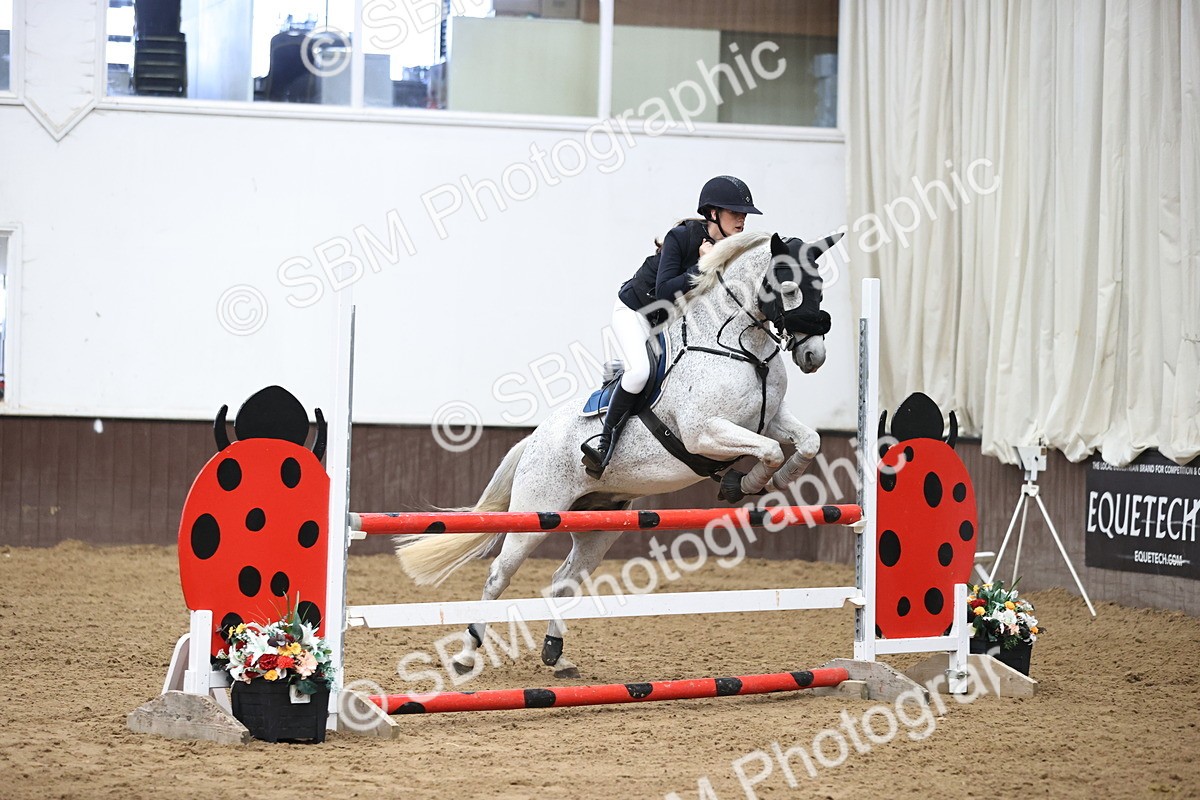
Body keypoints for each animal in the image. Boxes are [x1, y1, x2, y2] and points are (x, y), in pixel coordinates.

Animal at [396, 229, 843, 678]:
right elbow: (768, 451)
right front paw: (742, 482)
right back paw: (466, 655)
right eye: (789, 287)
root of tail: (535, 439)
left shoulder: (769, 419)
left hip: (600, 525)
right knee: (498, 575)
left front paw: (768, 480)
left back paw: (557, 655)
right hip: (533, 514)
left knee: (565, 578)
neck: (740, 346)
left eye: (821, 287)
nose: (814, 356)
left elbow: (807, 442)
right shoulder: (703, 432)